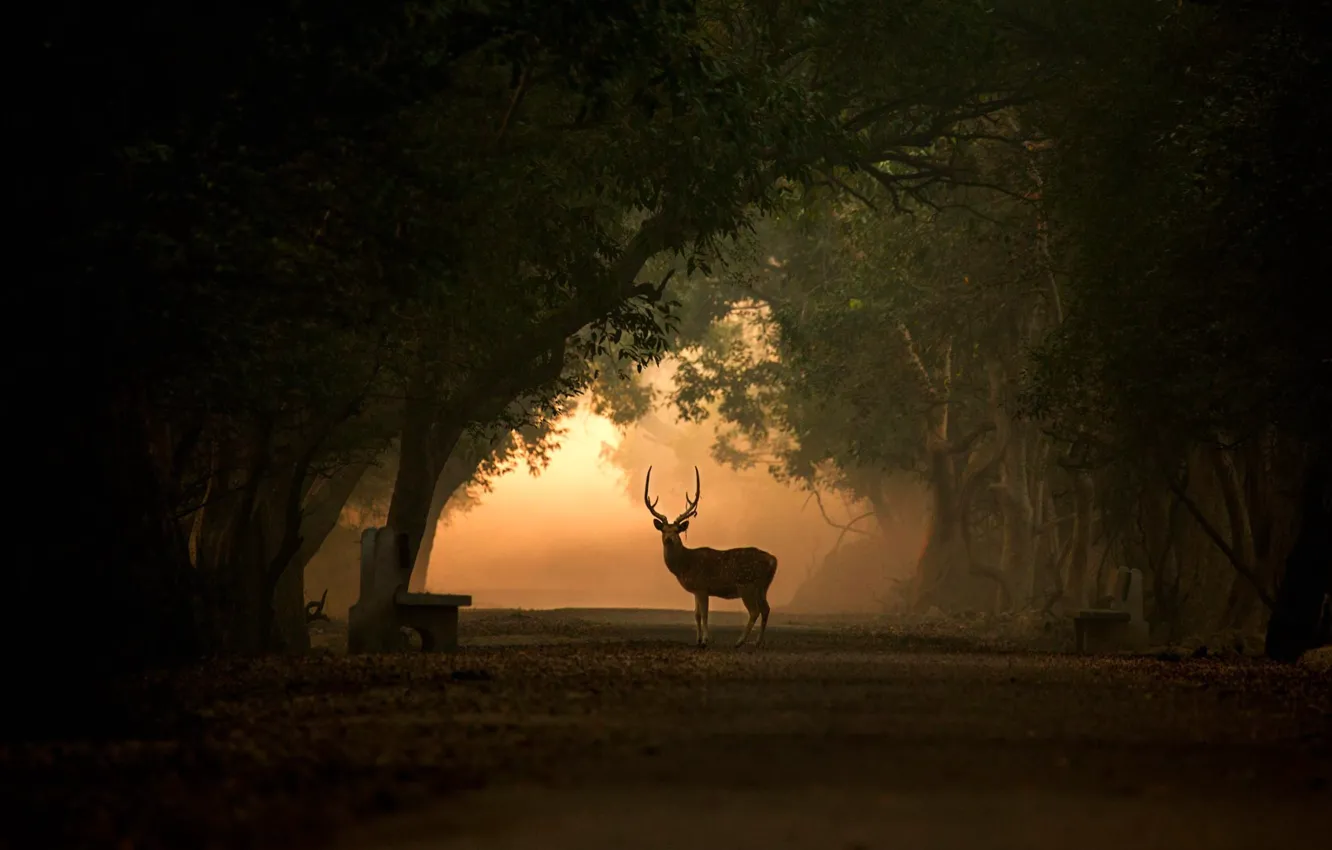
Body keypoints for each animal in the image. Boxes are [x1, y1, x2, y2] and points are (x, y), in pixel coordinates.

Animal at [644, 466, 778, 649]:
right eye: (663, 530)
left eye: (677, 530)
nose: (669, 539)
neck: (685, 565)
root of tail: (773, 560)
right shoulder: (695, 590)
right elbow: (696, 614)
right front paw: (698, 640)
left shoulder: (702, 587)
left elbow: (705, 614)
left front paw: (706, 640)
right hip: (763, 587)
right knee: (766, 609)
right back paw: (757, 642)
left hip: (747, 584)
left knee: (754, 611)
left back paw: (740, 641)